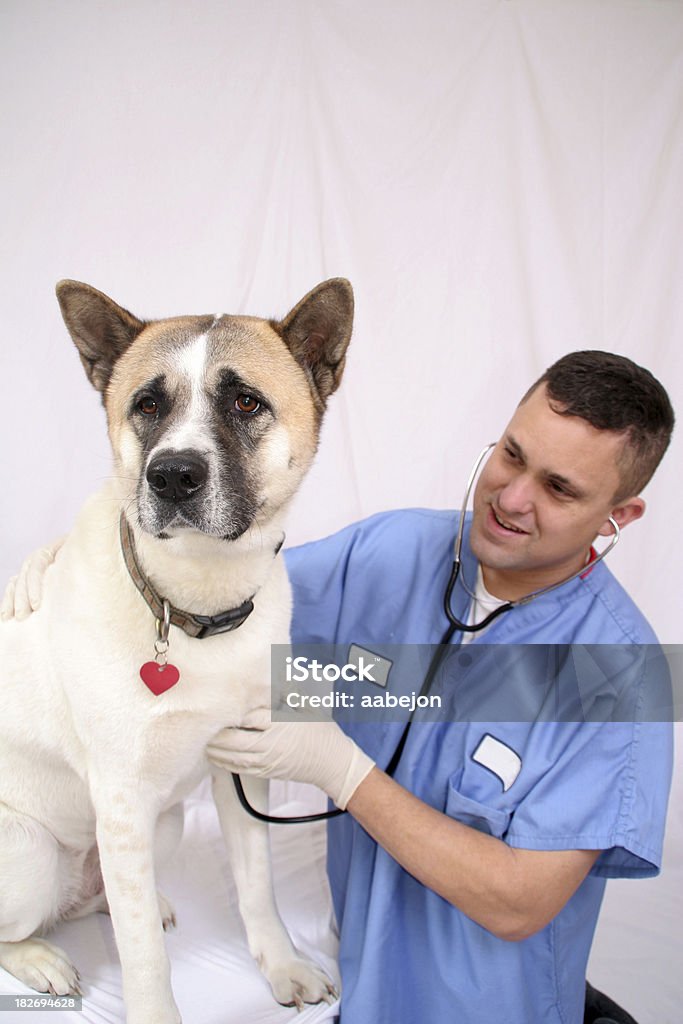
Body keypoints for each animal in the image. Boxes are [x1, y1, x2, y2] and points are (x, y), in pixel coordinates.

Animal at [0, 276, 352, 1019]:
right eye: (148, 405)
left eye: (245, 401)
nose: (171, 476)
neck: (194, 606)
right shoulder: (123, 802)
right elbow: (142, 962)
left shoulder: (241, 768)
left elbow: (256, 888)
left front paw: (282, 965)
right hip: (31, 853)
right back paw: (42, 959)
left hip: (161, 828)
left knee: (97, 897)